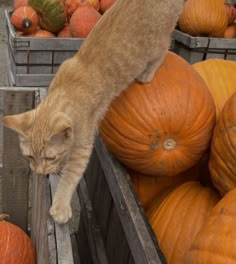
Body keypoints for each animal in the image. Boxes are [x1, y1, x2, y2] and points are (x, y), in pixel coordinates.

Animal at [2, 0, 184, 223]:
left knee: (165, 48)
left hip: (158, 43)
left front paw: (60, 206)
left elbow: (70, 176)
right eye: (29, 157)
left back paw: (147, 74)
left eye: (49, 158)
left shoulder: (83, 146)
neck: (65, 90)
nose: (39, 173)